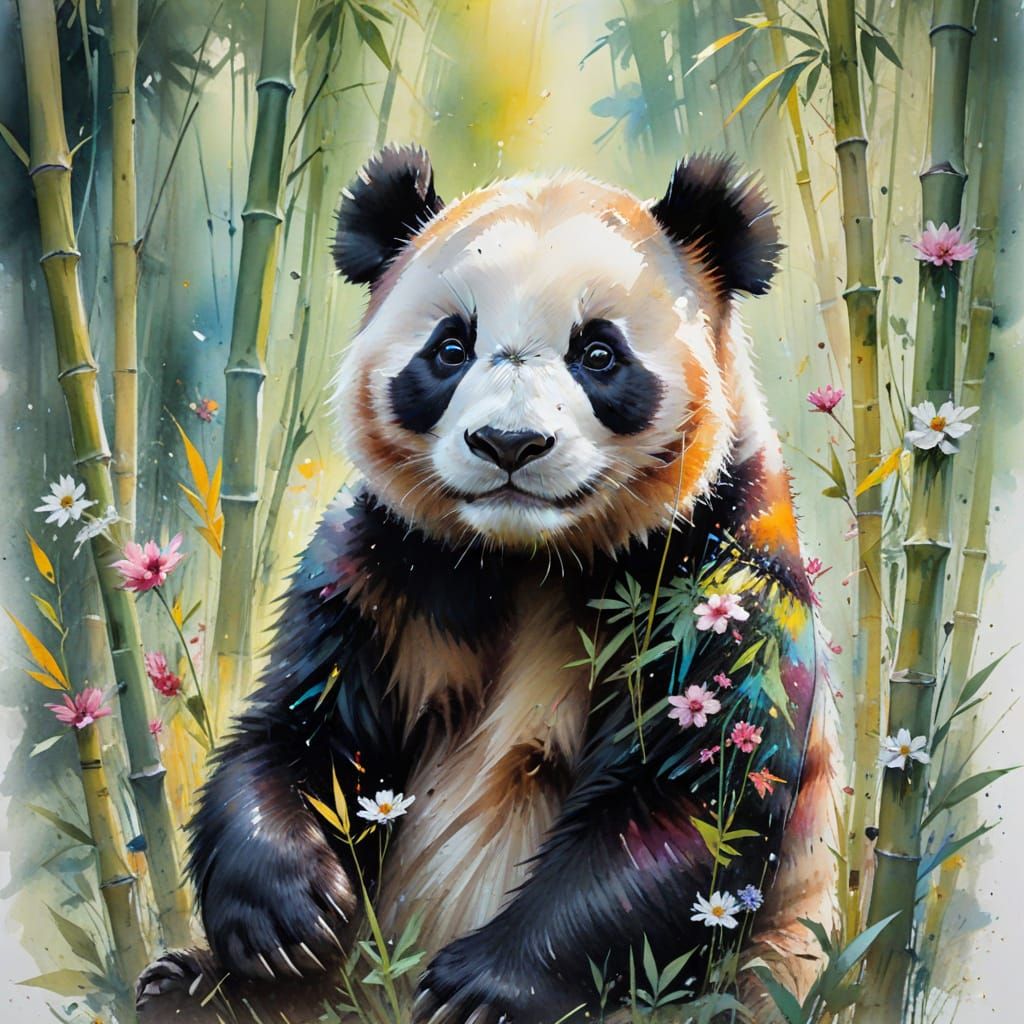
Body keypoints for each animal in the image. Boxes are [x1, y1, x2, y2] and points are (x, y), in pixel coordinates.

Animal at [138, 145, 840, 1023]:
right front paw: (288, 914)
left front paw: (476, 991)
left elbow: (691, 802)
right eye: (449, 348)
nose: (510, 442)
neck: (528, 556)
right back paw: (187, 982)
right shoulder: (386, 565)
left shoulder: (720, 578)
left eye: (598, 353)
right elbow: (301, 731)